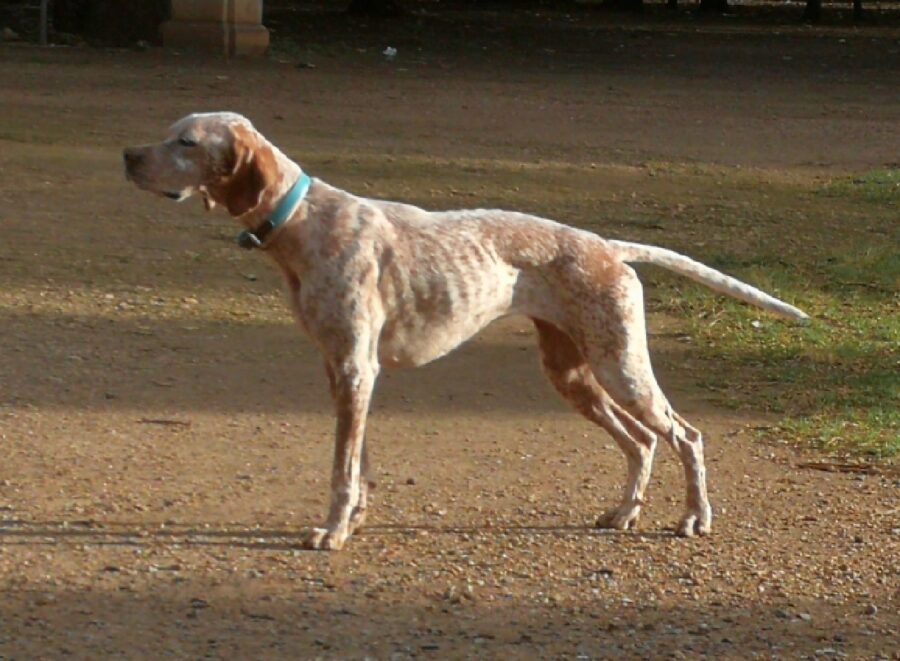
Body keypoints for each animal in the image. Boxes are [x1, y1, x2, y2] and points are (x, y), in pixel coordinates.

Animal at [121, 113, 808, 552]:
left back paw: (695, 519)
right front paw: (357, 522)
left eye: (185, 141)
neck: (303, 223)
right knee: (640, 442)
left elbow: (342, 469)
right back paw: (622, 515)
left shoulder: (355, 371)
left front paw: (333, 532)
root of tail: (608, 247)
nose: (127, 156)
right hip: (572, 374)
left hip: (620, 366)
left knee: (684, 437)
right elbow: (360, 464)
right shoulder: (345, 372)